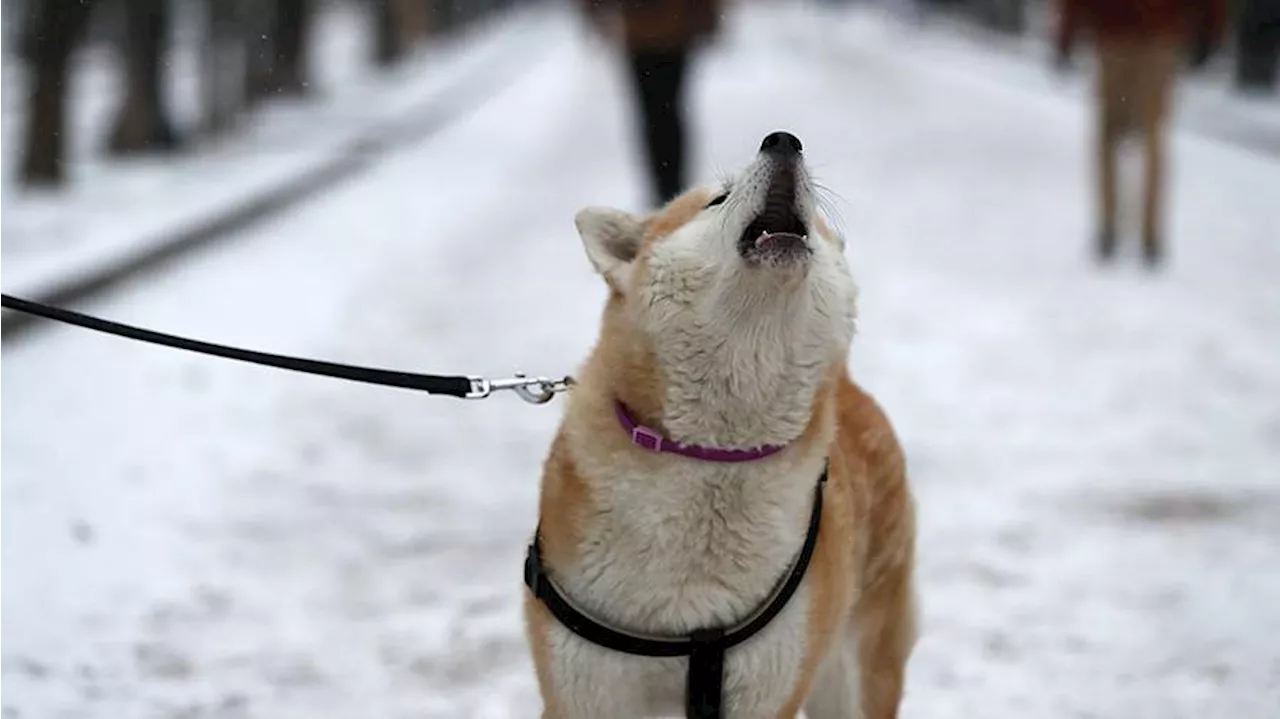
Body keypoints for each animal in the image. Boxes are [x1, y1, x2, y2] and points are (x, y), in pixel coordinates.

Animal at [524, 131, 916, 711]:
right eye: (717, 199)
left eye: (818, 218)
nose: (783, 140)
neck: (715, 456)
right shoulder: (587, 693)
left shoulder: (765, 689)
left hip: (853, 672)